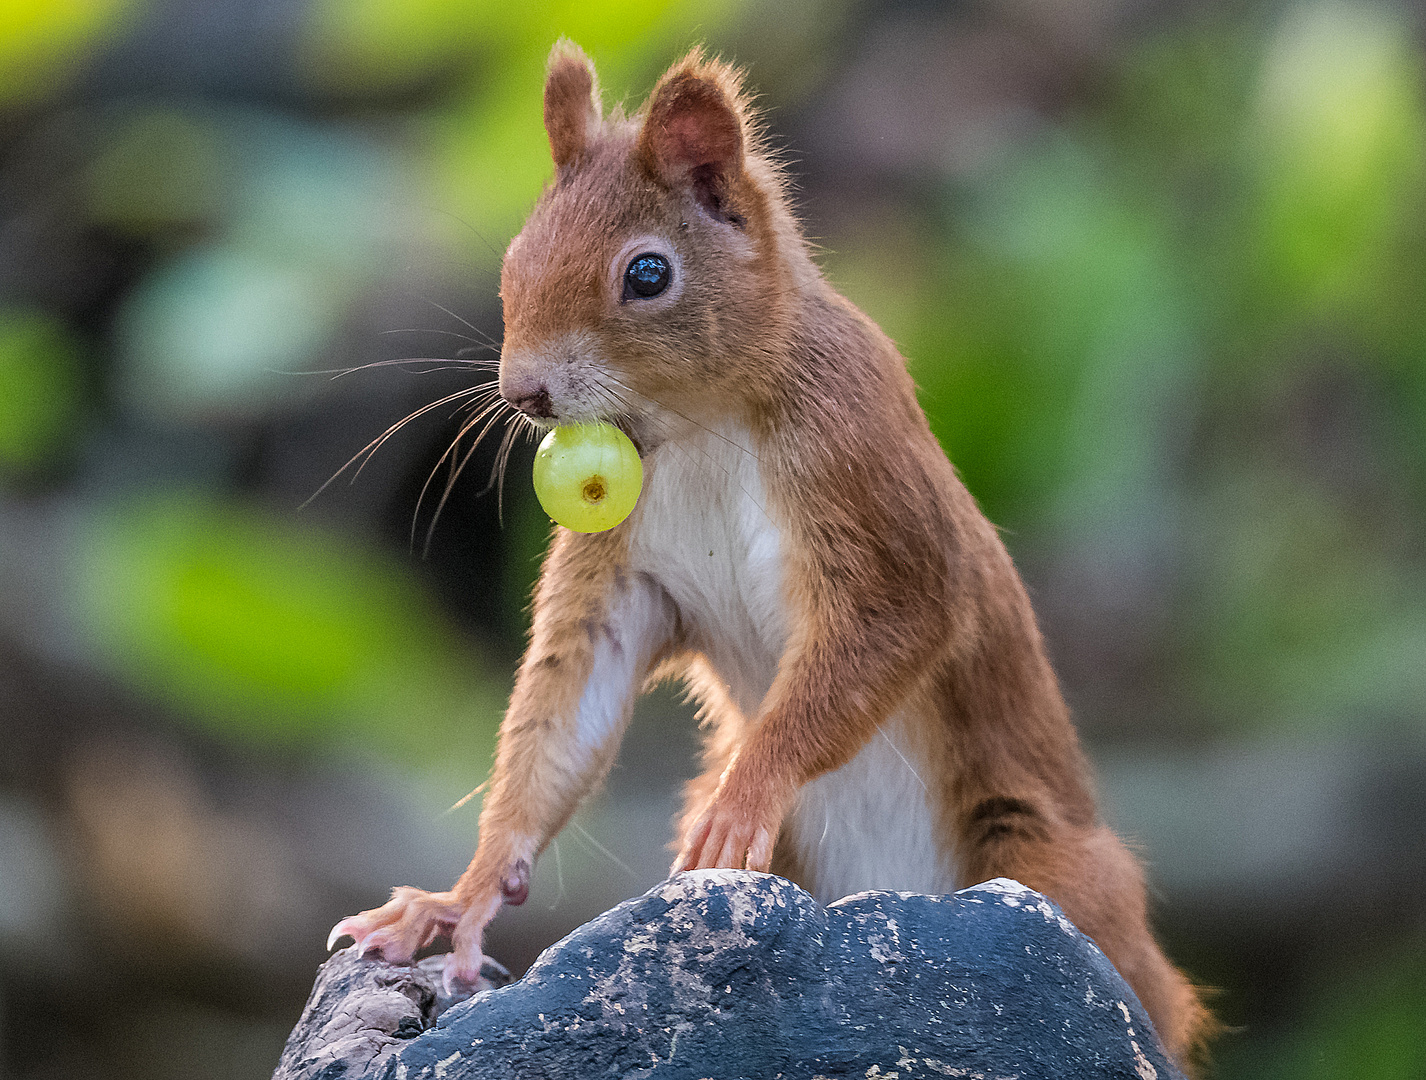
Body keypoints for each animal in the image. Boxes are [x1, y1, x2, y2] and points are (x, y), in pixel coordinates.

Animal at [327, 44, 1209, 1072]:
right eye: (515, 258)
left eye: (648, 273)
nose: (526, 393)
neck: (699, 423)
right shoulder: (620, 572)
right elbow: (567, 709)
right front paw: (460, 898)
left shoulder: (864, 473)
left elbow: (889, 630)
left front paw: (744, 796)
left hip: (1045, 867)